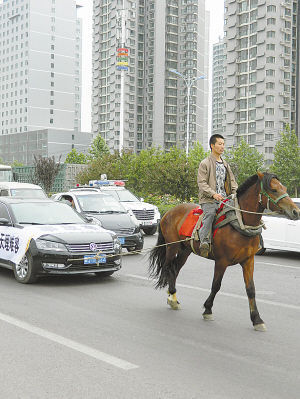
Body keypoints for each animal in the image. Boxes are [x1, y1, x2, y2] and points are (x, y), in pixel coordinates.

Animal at [149, 172, 298, 332]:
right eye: (274, 190)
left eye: (285, 188)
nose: (296, 211)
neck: (240, 223)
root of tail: (169, 211)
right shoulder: (222, 261)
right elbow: (216, 285)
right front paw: (208, 309)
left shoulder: (248, 260)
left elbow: (251, 289)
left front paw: (256, 319)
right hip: (172, 247)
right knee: (168, 268)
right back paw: (172, 296)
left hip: (185, 250)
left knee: (175, 269)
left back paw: (173, 297)